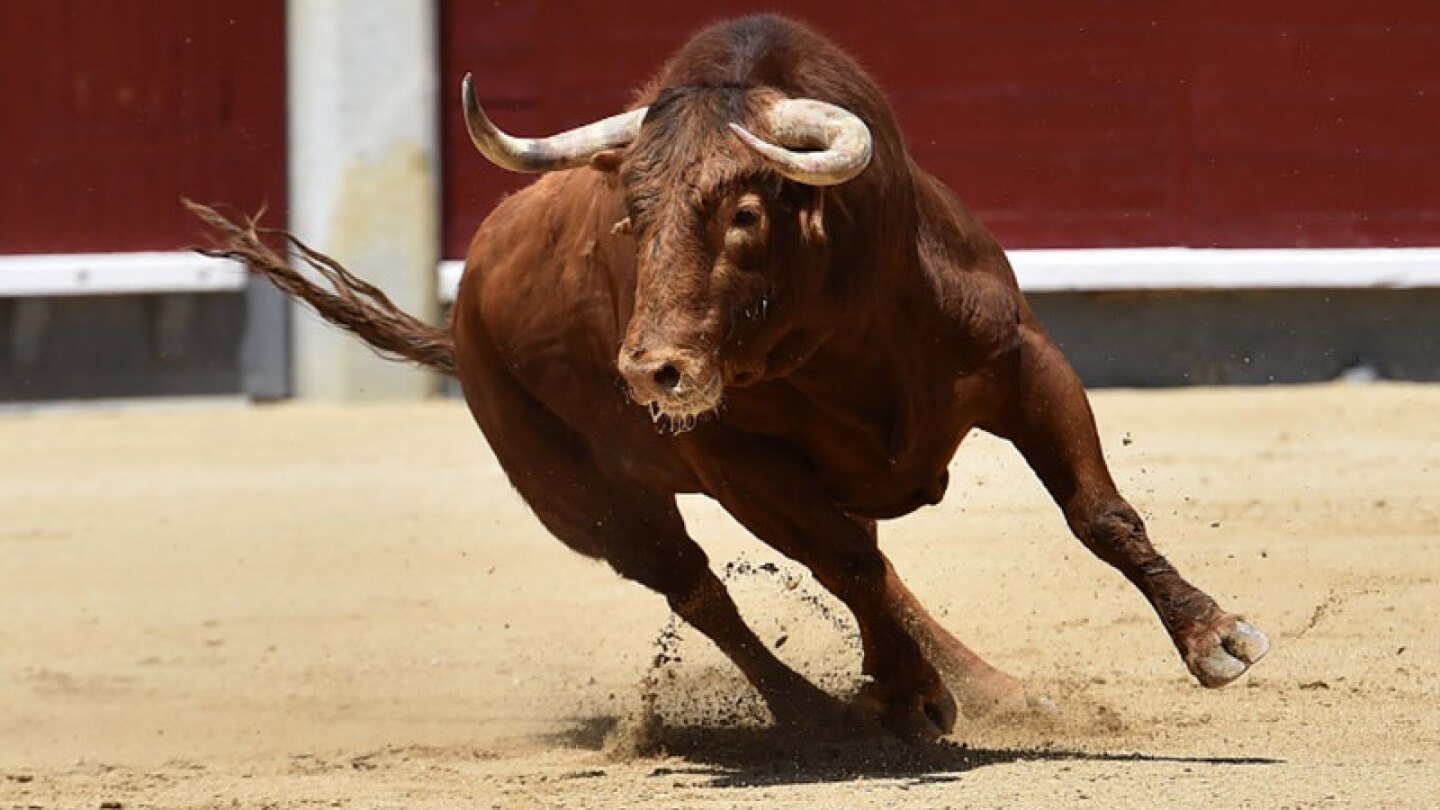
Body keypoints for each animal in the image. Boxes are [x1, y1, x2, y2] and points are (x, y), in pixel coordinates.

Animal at [194, 14, 1272, 737]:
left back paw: (988, 689)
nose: (650, 373)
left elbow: (1098, 513)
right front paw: (903, 693)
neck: (851, 322)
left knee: (866, 565)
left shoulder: (1024, 364)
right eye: (631, 217)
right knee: (705, 590)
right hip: (588, 504)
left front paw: (1215, 638)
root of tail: (459, 317)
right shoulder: (738, 461)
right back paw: (827, 712)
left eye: (746, 213)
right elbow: (842, 567)